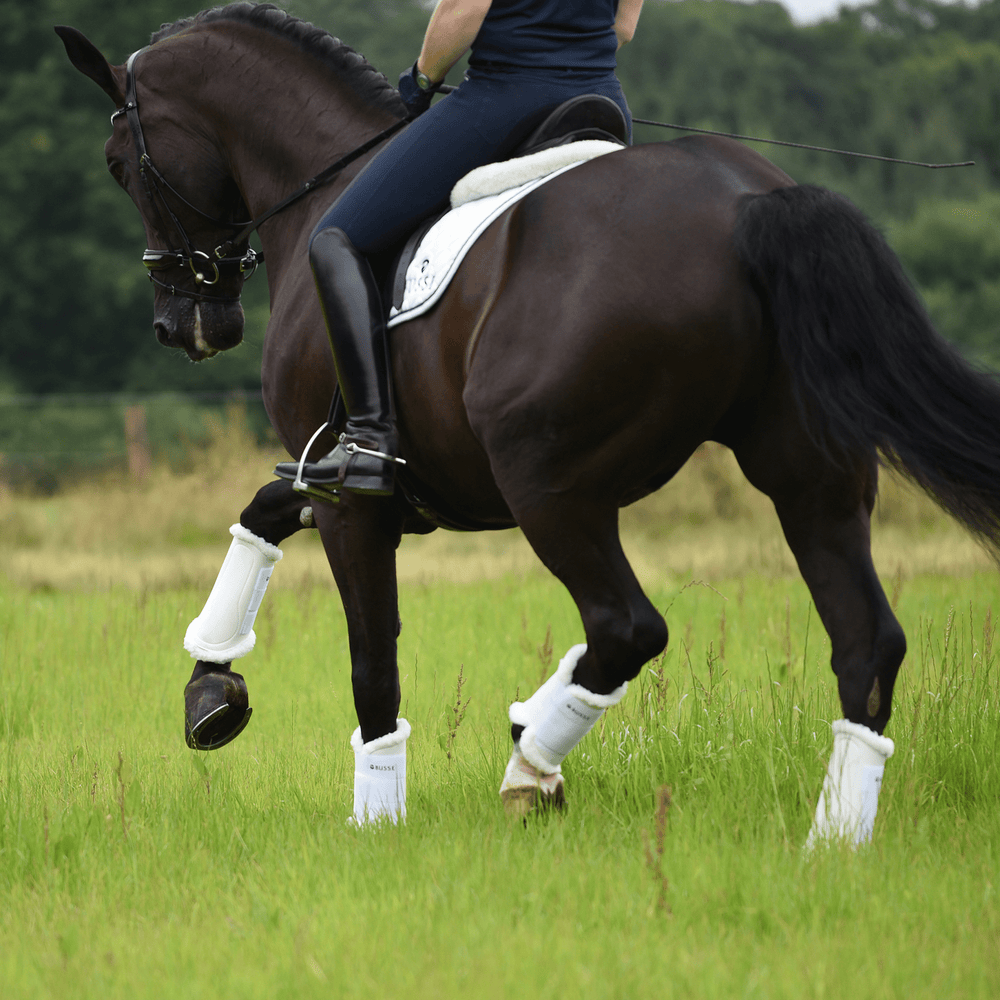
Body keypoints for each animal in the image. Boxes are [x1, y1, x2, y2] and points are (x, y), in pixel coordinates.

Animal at [58, 3, 1000, 834]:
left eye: (116, 161)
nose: (187, 326)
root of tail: (744, 201)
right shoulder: (341, 474)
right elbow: (259, 512)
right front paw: (211, 688)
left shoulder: (352, 498)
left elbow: (372, 662)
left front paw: (376, 816)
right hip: (808, 476)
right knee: (866, 643)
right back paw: (832, 839)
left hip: (549, 484)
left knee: (628, 627)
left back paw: (529, 767)